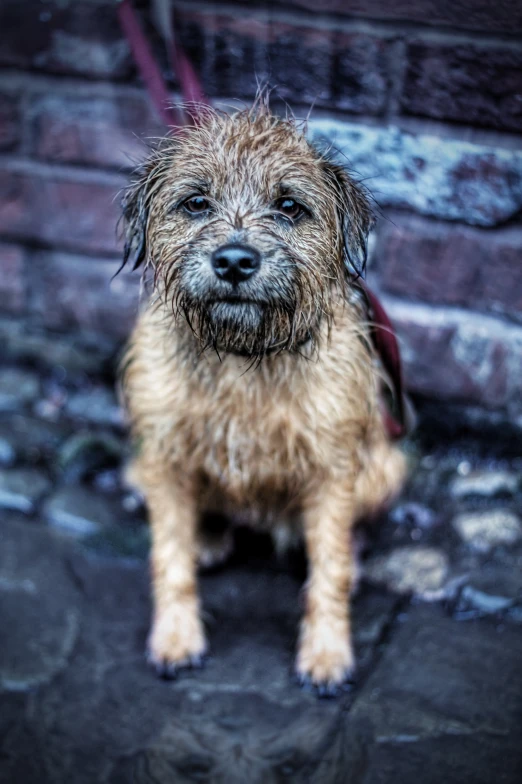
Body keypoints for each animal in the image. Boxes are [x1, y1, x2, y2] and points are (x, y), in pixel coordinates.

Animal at [119, 96, 406, 692]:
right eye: (196, 202)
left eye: (290, 206)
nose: (233, 260)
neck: (242, 357)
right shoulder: (163, 454)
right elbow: (169, 559)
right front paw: (175, 639)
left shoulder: (332, 467)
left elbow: (328, 571)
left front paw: (327, 653)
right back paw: (208, 537)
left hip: (386, 467)